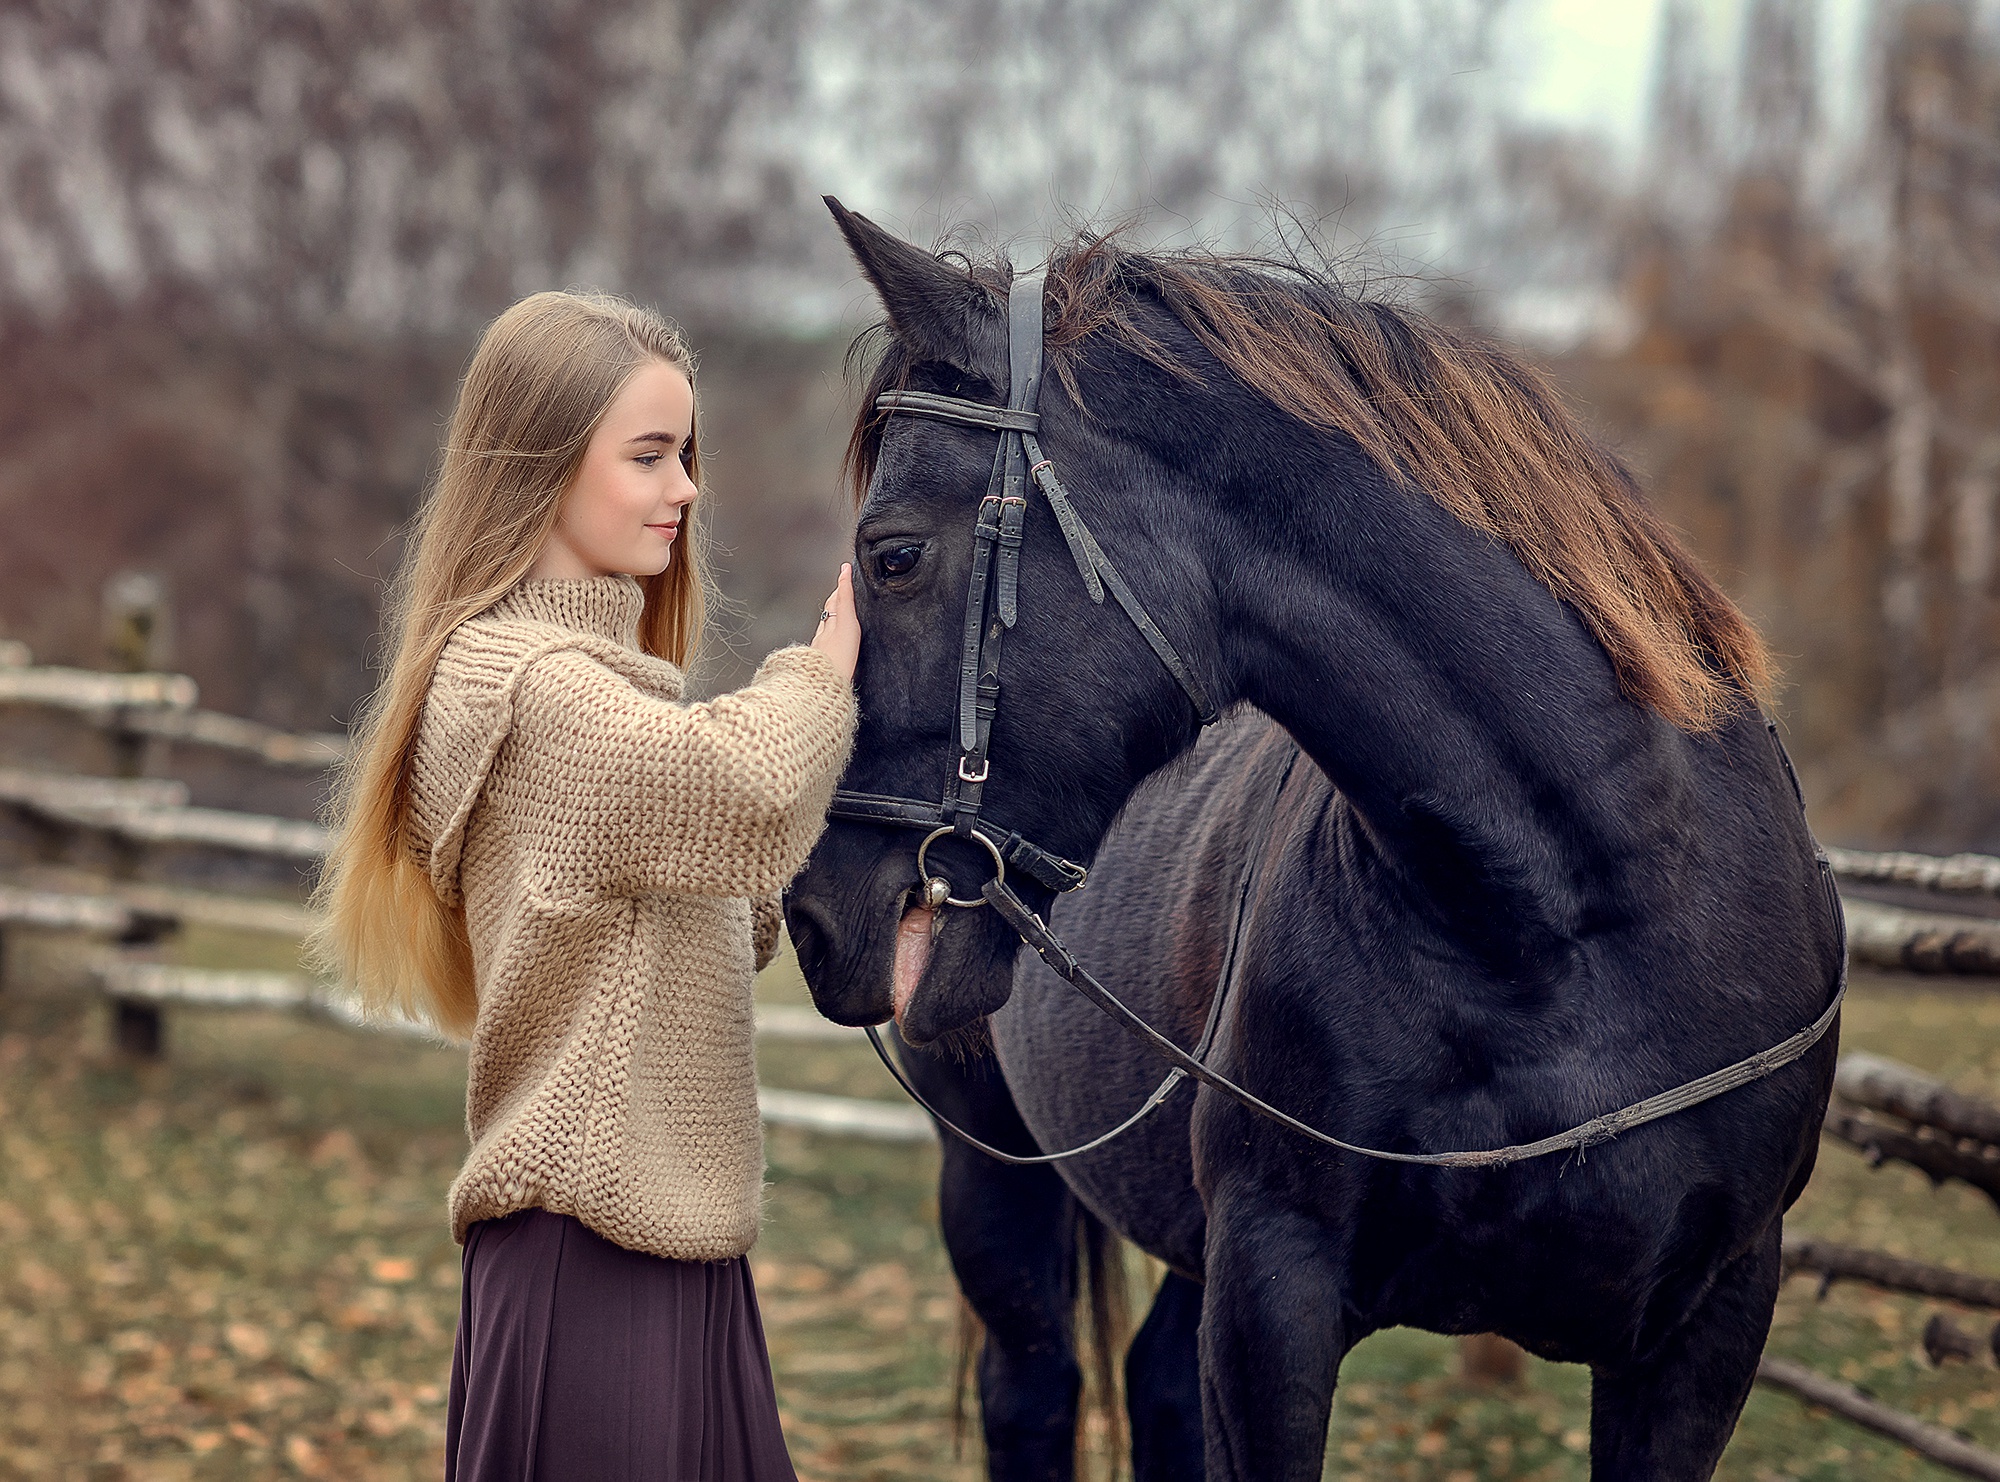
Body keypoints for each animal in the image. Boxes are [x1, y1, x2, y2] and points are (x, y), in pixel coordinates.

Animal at [780, 205, 1840, 1480]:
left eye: (891, 555)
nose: (814, 915)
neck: (1577, 919)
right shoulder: (1271, 1293)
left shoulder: (1706, 1329)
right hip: (988, 1174)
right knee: (1033, 1394)